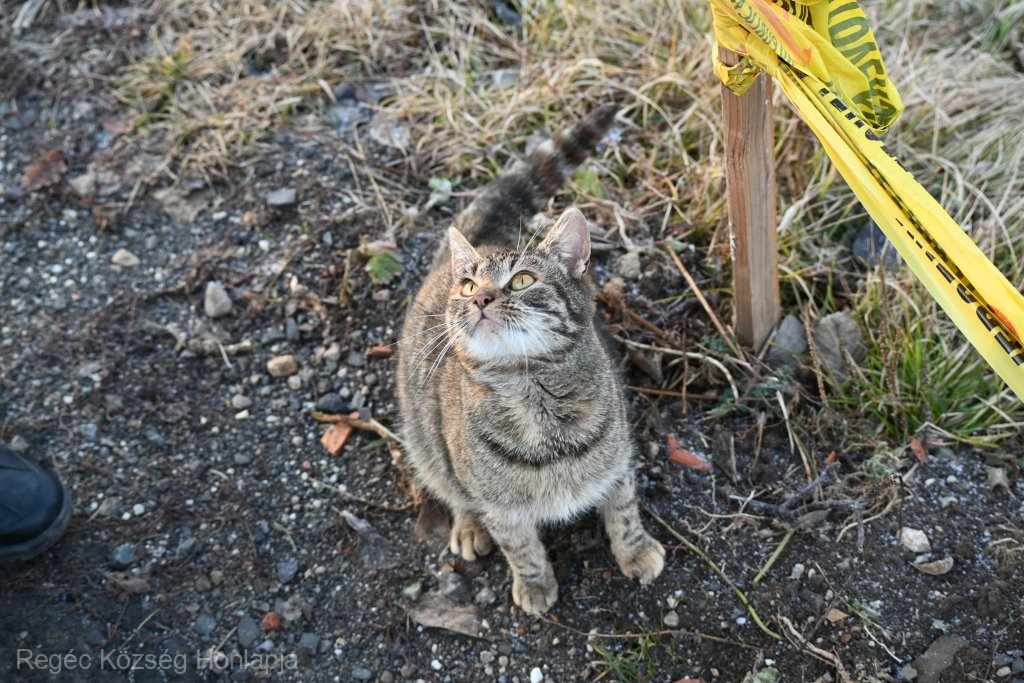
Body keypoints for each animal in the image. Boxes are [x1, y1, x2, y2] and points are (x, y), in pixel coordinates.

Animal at [396, 105, 665, 615]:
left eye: (521, 280)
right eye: (468, 286)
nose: (479, 298)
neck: (534, 401)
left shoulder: (620, 458)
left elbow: (623, 509)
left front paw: (635, 550)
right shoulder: (498, 505)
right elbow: (518, 544)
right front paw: (535, 583)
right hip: (425, 436)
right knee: (449, 486)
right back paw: (467, 526)